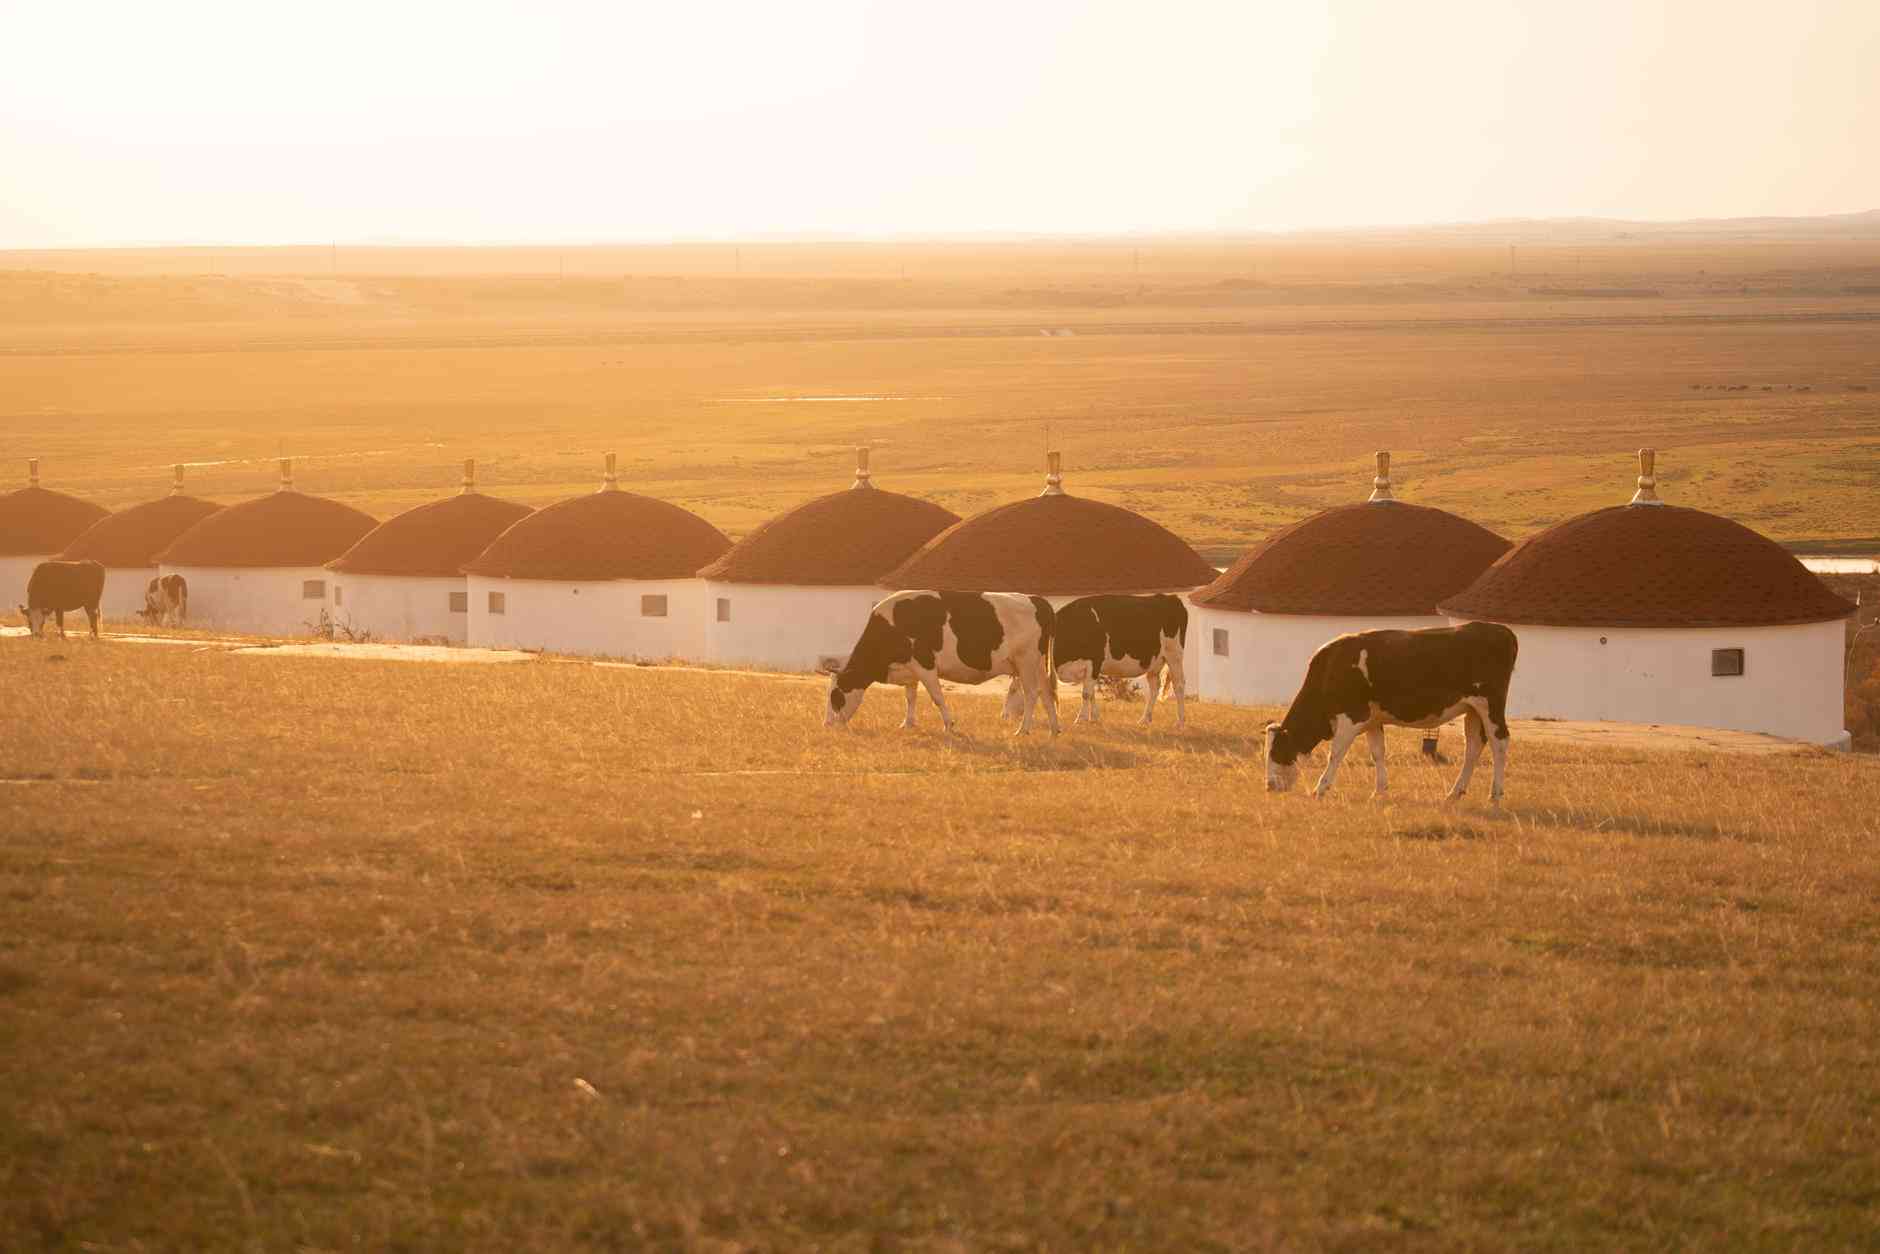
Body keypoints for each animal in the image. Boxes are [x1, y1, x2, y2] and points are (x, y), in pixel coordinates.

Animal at [823, 597, 1060, 740]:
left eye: (836, 696)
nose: (827, 724)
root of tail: (1038, 600)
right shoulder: (910, 670)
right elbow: (910, 697)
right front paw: (907, 723)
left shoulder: (925, 665)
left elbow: (937, 697)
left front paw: (949, 725)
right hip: (1039, 665)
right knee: (1047, 693)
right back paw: (1054, 729)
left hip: (1026, 661)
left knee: (1031, 694)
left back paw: (1023, 730)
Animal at [1015, 597, 1188, 729]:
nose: (1013, 716)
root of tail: (1171, 598)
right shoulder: (1086, 670)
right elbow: (1091, 693)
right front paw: (1095, 718)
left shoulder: (1094, 663)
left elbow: (1086, 694)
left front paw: (1081, 719)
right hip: (1154, 662)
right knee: (1154, 688)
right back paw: (1145, 719)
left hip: (1174, 655)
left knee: (1179, 685)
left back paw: (1180, 722)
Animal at [1263, 620, 1511, 804]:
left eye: (1276, 751)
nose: (1269, 786)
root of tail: (1500, 630)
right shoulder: (1372, 720)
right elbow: (1377, 752)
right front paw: (1379, 790)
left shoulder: (1352, 716)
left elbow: (1335, 753)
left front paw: (1320, 789)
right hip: (1473, 711)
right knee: (1473, 747)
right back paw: (1454, 793)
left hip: (1490, 705)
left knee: (1499, 742)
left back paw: (1495, 794)